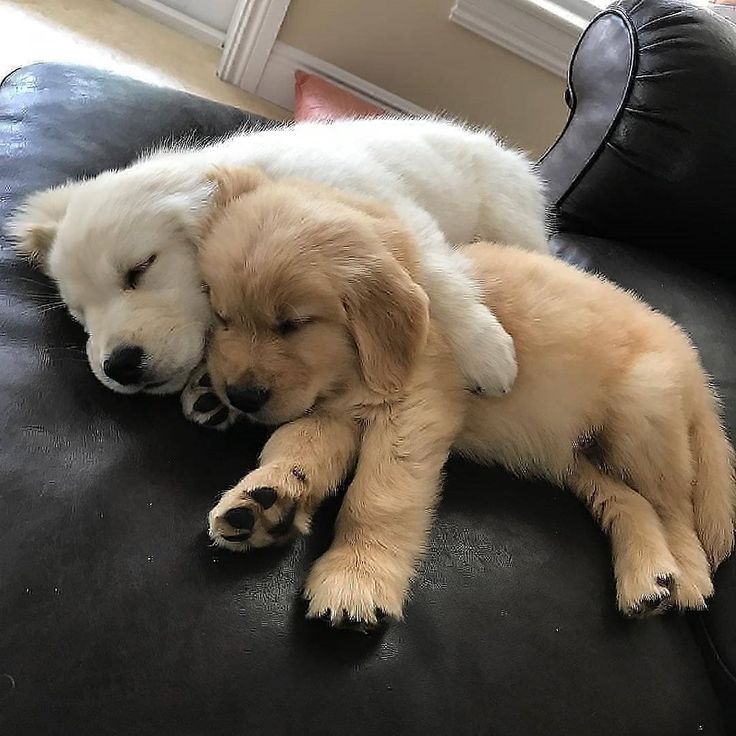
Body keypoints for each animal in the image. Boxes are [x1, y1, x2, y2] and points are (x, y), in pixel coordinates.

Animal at [5, 118, 548, 422]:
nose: (117, 366)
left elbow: (438, 280)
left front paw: (487, 353)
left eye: (140, 269)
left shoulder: (398, 218)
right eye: (79, 314)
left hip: (510, 216)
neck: (255, 183)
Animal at [201, 165, 736, 628]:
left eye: (293, 324)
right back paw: (648, 579)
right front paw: (265, 501)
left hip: (641, 416)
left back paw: (688, 574)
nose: (239, 396)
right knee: (629, 500)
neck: (351, 369)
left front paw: (356, 579)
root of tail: (694, 365)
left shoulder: (414, 410)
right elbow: (297, 447)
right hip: (575, 456)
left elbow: (378, 496)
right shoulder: (334, 411)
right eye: (222, 316)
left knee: (676, 508)